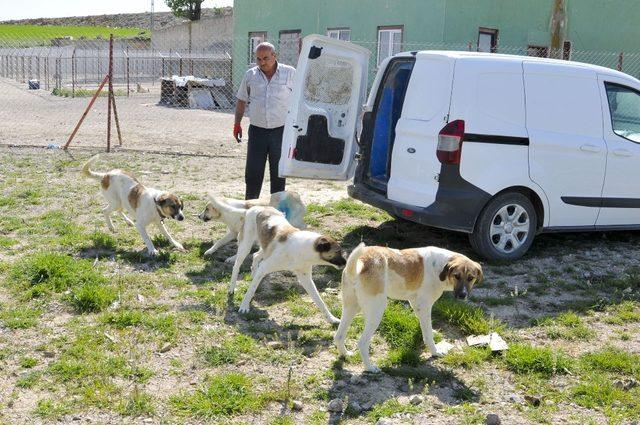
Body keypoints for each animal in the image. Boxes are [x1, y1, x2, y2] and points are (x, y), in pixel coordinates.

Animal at [336, 242, 480, 372]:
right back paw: (370, 368)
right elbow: (428, 334)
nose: (462, 295)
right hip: (377, 311)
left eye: (471, 278)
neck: (441, 266)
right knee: (362, 343)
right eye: (457, 276)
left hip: (351, 308)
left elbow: (425, 327)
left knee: (338, 336)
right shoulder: (425, 305)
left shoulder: (416, 303)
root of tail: (361, 261)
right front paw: (435, 351)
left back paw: (346, 354)